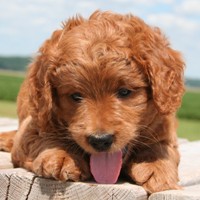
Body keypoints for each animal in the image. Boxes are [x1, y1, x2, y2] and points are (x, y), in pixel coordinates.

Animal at [0, 11, 184, 194]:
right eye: (76, 96)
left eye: (124, 92)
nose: (100, 140)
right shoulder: (33, 124)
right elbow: (42, 137)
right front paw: (63, 156)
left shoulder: (166, 127)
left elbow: (162, 147)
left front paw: (157, 167)